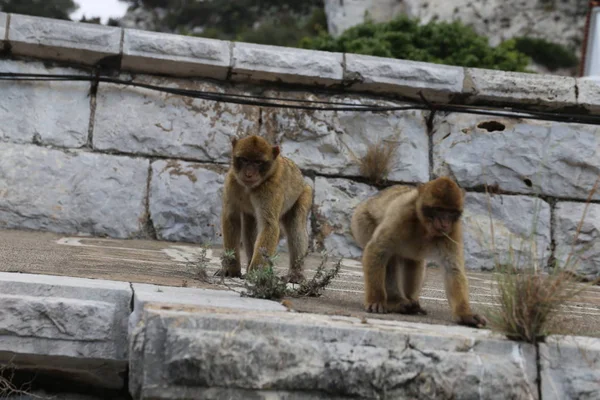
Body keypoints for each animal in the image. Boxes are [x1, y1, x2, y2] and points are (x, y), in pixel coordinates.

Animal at [217, 134, 312, 282]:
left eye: (258, 162)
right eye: (244, 159)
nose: (249, 174)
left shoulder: (270, 189)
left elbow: (269, 225)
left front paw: (256, 273)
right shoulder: (231, 182)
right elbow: (231, 218)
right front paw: (231, 268)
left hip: (305, 194)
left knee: (296, 226)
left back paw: (295, 274)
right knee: (250, 225)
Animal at [352, 177, 488, 326]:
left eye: (451, 212)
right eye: (439, 209)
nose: (445, 222)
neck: (424, 227)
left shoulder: (452, 230)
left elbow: (452, 269)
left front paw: (465, 314)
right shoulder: (401, 215)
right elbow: (377, 249)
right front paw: (376, 300)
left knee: (414, 262)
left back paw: (410, 302)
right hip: (362, 222)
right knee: (389, 258)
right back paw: (396, 302)